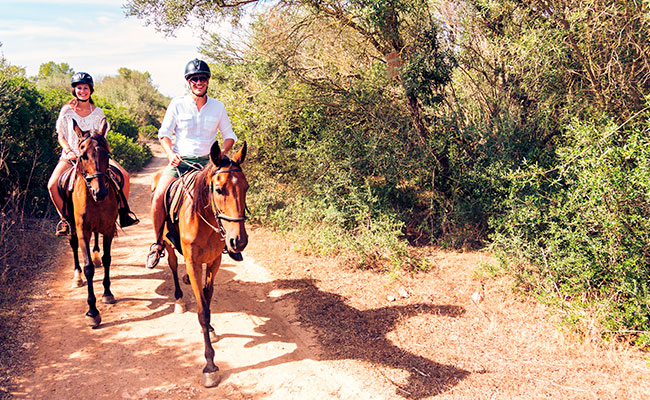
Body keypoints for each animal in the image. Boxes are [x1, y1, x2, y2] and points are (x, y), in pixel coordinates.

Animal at [154, 141, 248, 388]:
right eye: (219, 190)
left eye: (246, 187)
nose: (239, 241)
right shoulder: (194, 263)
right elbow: (202, 310)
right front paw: (210, 366)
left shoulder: (214, 261)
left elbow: (207, 297)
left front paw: (212, 328)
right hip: (168, 245)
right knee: (172, 265)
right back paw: (178, 299)